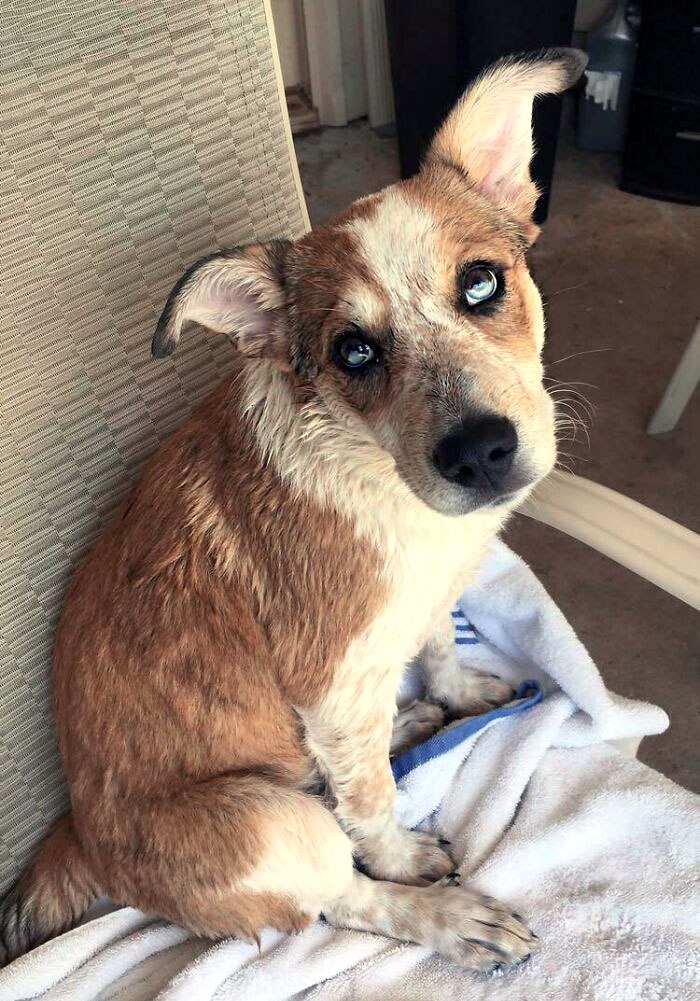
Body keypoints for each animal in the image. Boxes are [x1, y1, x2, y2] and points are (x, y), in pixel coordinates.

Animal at [1, 50, 584, 972]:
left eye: (482, 282)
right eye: (355, 351)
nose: (480, 452)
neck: (376, 469)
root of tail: (81, 838)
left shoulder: (422, 606)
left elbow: (437, 647)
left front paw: (453, 692)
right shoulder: (333, 689)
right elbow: (373, 814)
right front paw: (410, 862)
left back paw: (413, 715)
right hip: (273, 824)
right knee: (336, 886)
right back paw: (448, 915)